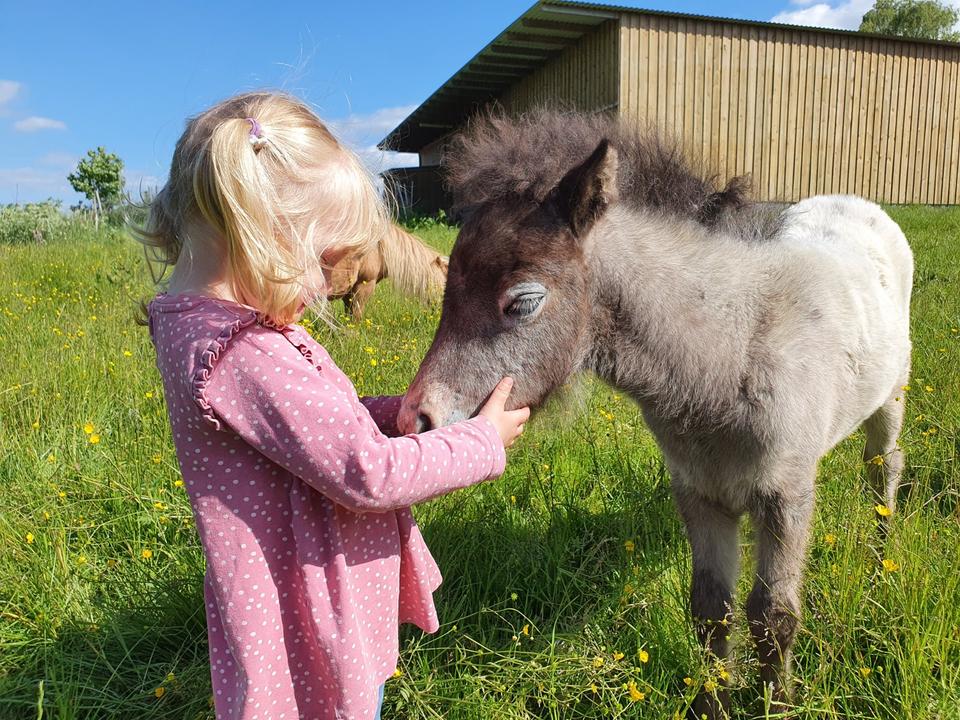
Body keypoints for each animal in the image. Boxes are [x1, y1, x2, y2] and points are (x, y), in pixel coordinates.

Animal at [397, 110, 913, 718]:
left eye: (523, 301)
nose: (415, 420)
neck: (731, 355)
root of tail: (857, 202)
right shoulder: (700, 492)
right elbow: (711, 610)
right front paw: (715, 704)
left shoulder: (785, 495)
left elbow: (773, 617)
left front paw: (776, 705)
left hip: (891, 396)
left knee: (884, 468)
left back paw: (882, 565)